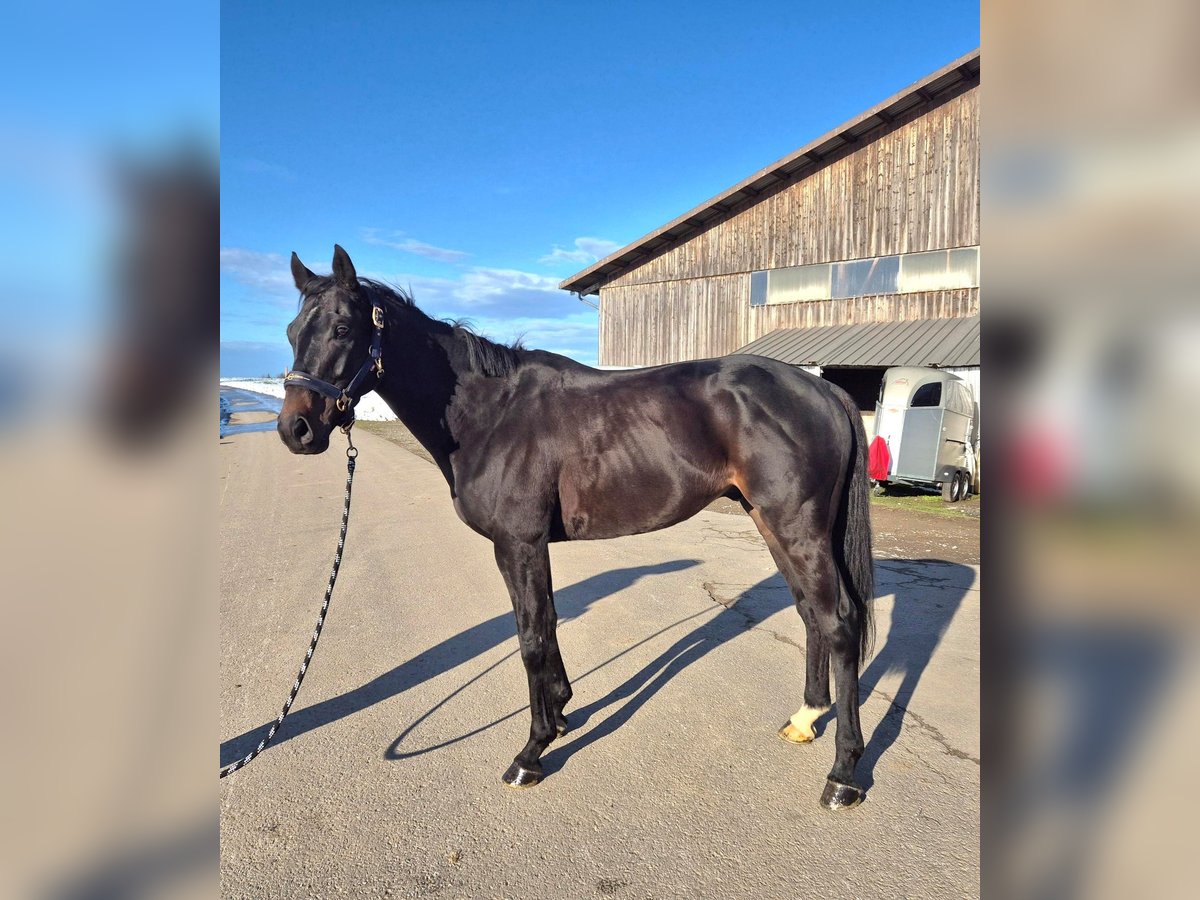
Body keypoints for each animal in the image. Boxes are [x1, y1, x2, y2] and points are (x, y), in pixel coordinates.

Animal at [283, 244, 883, 811]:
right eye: (292, 332)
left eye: (342, 328)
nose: (296, 429)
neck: (490, 414)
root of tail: (822, 390)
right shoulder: (527, 547)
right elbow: (545, 627)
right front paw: (562, 714)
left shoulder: (518, 544)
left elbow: (530, 638)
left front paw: (531, 753)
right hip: (773, 522)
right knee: (810, 612)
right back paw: (805, 718)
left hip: (797, 526)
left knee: (839, 622)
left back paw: (843, 775)